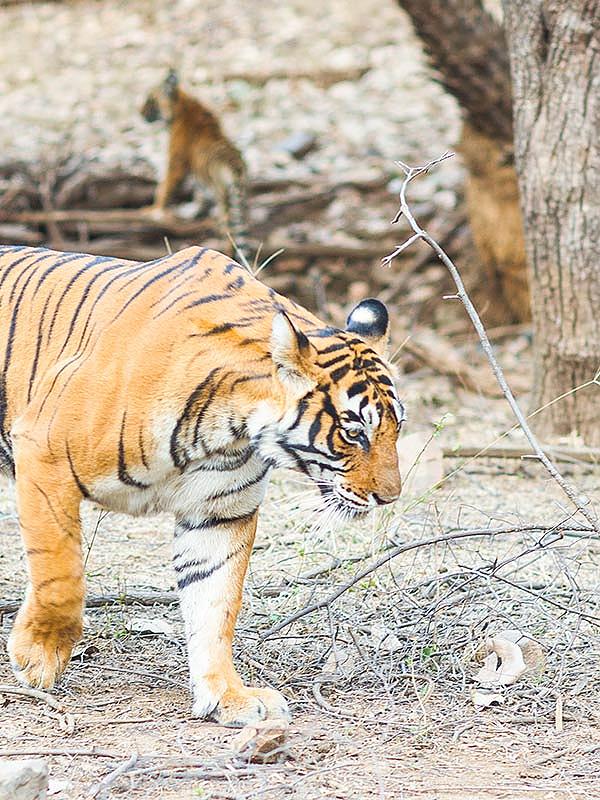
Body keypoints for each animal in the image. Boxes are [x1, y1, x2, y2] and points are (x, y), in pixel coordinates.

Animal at [0, 243, 404, 727]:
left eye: (397, 428)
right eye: (354, 432)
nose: (391, 497)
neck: (232, 425)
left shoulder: (220, 512)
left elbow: (216, 604)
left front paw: (227, 695)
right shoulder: (45, 454)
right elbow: (61, 575)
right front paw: (37, 656)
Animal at [141, 69, 250, 260]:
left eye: (151, 99)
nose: (139, 112)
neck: (181, 104)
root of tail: (236, 168)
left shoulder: (176, 163)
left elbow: (164, 188)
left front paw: (154, 209)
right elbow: (199, 192)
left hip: (224, 200)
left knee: (228, 232)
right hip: (240, 202)